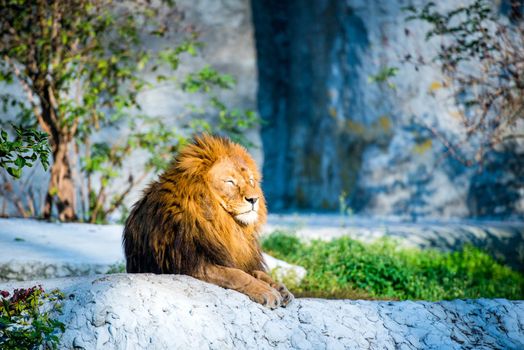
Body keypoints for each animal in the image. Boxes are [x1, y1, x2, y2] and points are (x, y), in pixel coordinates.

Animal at [124, 133, 294, 308]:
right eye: (230, 181)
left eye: (251, 181)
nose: (254, 199)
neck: (224, 223)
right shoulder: (192, 265)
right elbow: (237, 275)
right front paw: (267, 291)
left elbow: (255, 272)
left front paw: (279, 288)